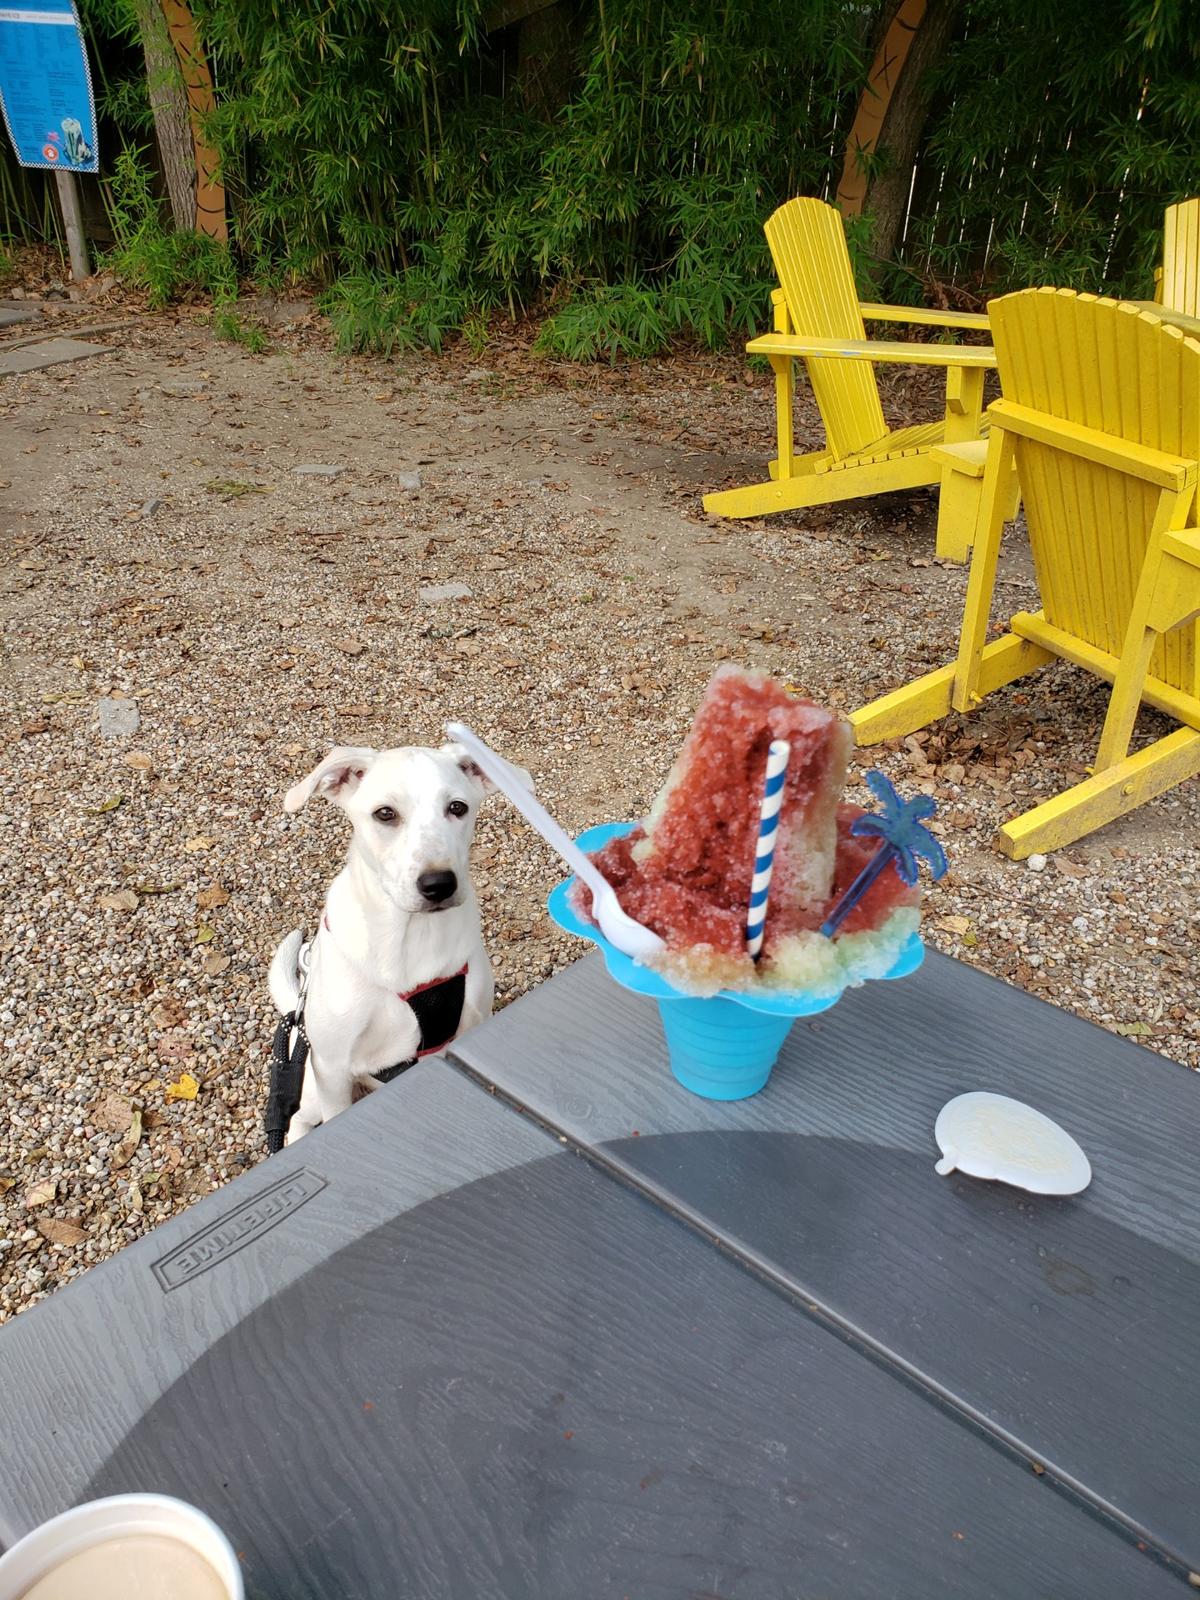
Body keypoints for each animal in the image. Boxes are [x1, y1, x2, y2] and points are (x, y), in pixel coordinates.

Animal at [270, 742, 518, 1145]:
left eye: (457, 807)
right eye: (385, 814)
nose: (439, 884)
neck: (409, 937)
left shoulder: (472, 1025)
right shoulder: (332, 1069)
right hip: (310, 1086)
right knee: (297, 1119)